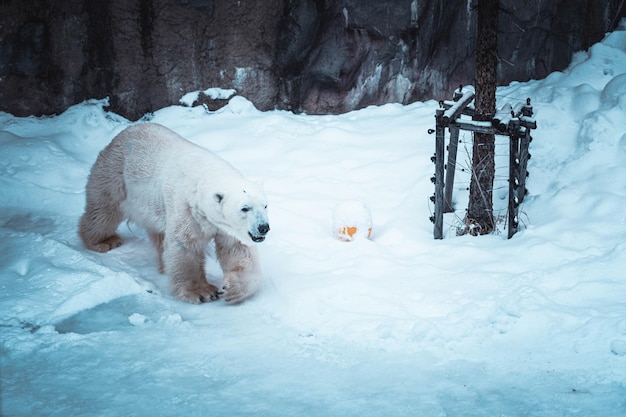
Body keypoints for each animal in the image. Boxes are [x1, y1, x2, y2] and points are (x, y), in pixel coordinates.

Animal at [78, 122, 268, 302]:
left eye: (265, 205)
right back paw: (103, 241)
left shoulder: (225, 227)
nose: (264, 227)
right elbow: (184, 245)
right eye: (245, 208)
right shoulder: (187, 209)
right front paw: (202, 292)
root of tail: (123, 133)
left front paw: (232, 290)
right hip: (115, 175)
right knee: (103, 210)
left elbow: (237, 249)